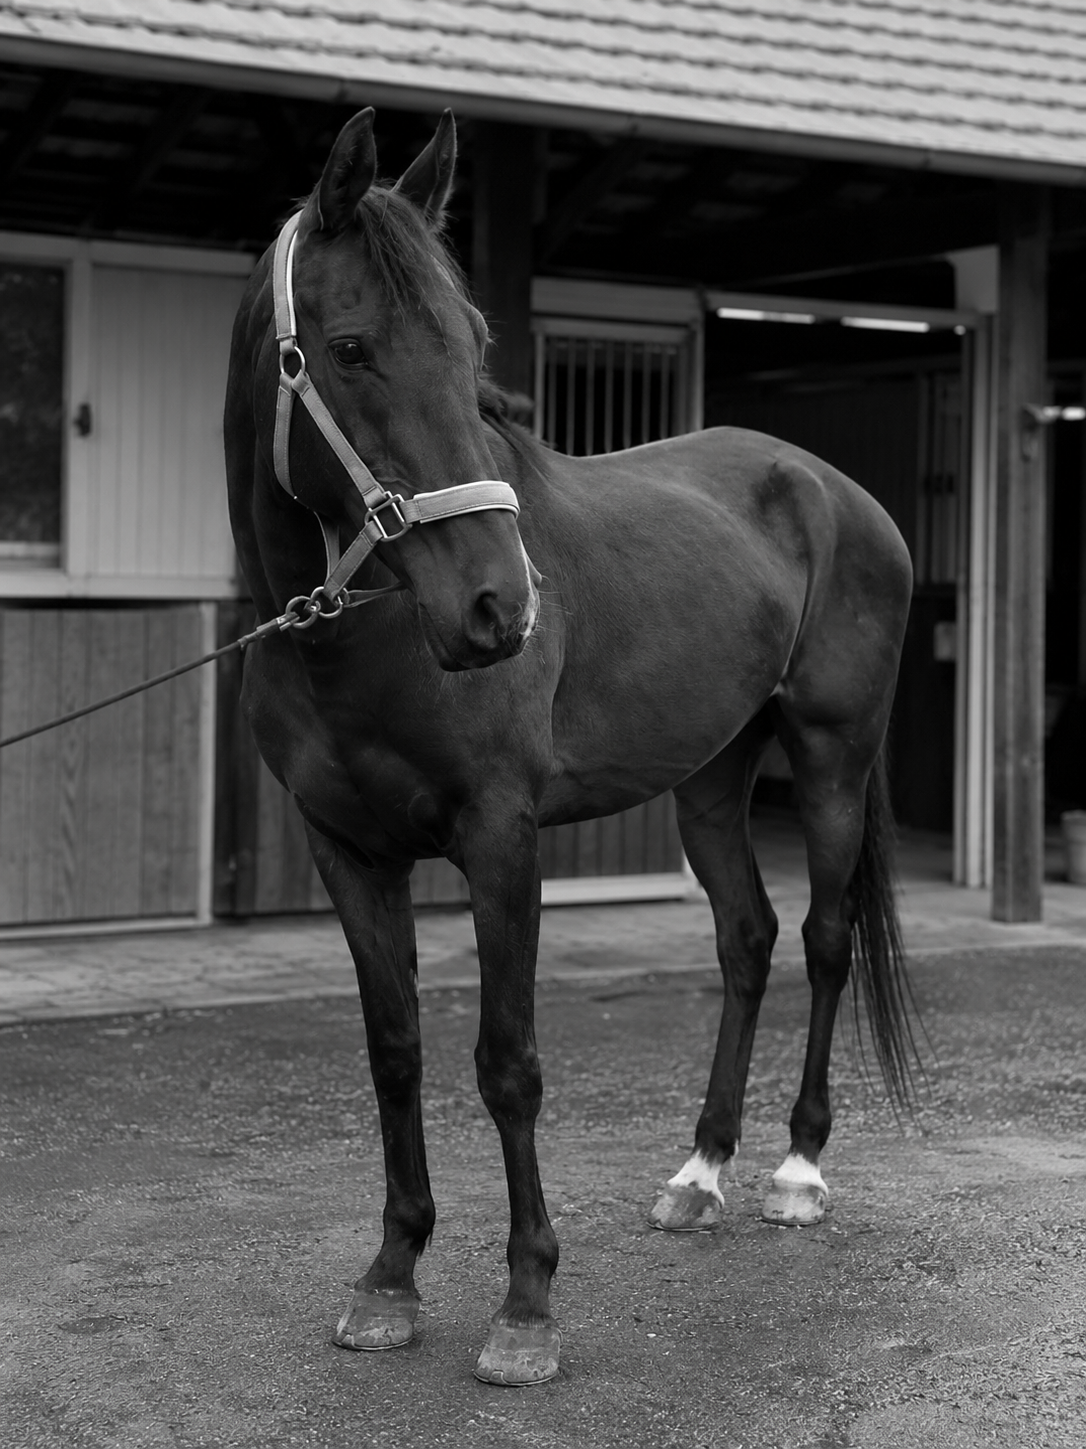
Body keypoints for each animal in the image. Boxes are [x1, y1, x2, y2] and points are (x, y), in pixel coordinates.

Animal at [224, 108, 917, 1387]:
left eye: (471, 350)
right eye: (349, 348)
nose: (503, 608)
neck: (361, 634)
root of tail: (832, 488)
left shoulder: (501, 841)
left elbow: (508, 1063)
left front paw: (526, 1305)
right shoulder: (348, 849)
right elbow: (395, 1050)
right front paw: (390, 1278)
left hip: (832, 758)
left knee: (825, 940)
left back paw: (798, 1172)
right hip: (711, 782)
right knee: (747, 940)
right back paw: (700, 1174)